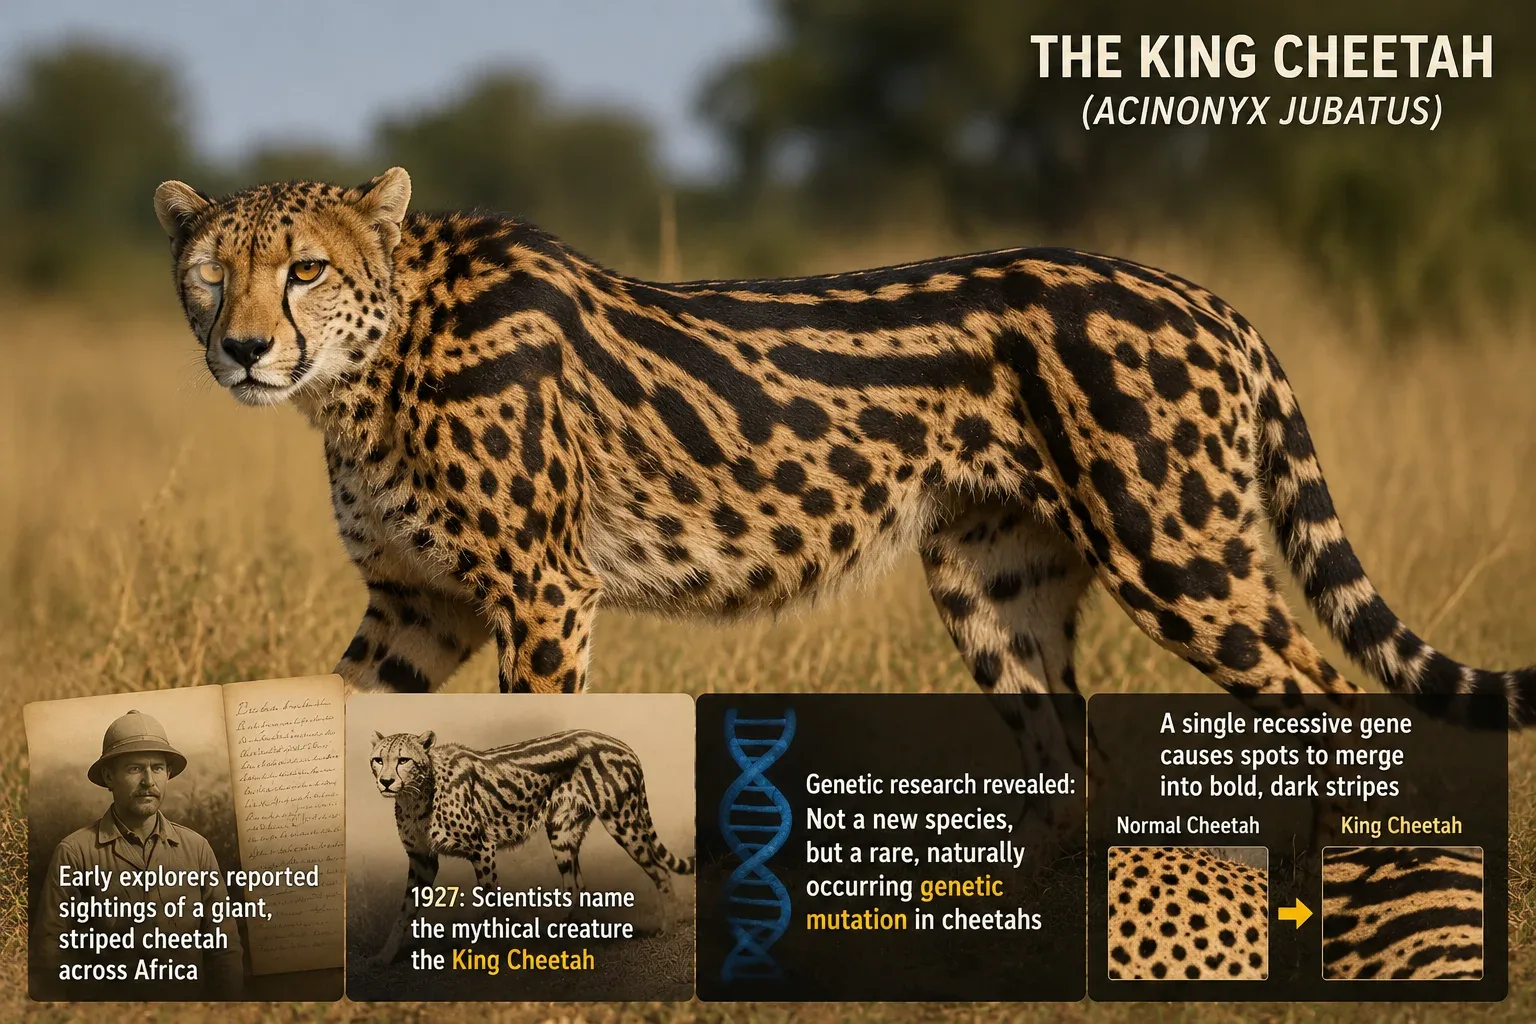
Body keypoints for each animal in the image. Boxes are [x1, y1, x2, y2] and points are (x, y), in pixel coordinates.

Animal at [151, 167, 1536, 772]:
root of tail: (1205, 293)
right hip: (995, 589)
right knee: (1069, 761)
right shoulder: (417, 607)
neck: (370, 366)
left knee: (1328, 696)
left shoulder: (543, 593)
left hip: (1181, 555)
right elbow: (329, 724)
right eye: (212, 273)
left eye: (305, 270)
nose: (243, 347)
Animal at [367, 728, 694, 965]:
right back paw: (564, 939)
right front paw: (384, 956)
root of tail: (623, 745)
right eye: (378, 760)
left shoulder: (482, 849)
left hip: (623, 824)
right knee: (576, 887)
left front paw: (487, 952)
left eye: (404, 760)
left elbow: (489, 903)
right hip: (561, 833)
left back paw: (668, 928)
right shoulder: (422, 860)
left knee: (660, 871)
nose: (385, 782)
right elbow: (404, 911)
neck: (418, 794)